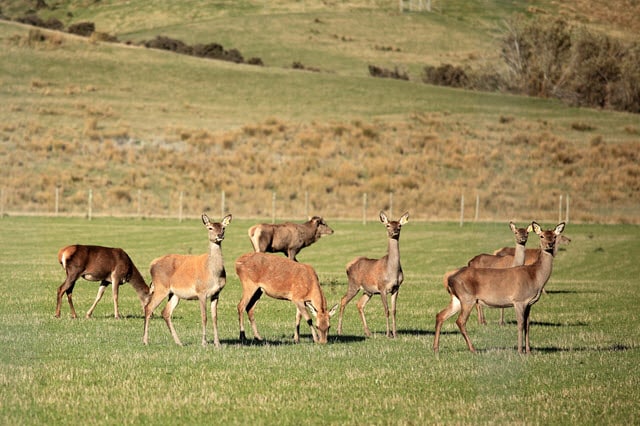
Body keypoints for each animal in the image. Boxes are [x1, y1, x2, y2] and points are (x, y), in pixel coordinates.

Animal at [141, 213, 231, 346]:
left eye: (223, 228)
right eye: (210, 228)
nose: (219, 235)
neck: (213, 273)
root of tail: (152, 264)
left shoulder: (216, 293)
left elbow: (215, 318)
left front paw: (217, 343)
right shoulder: (201, 292)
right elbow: (204, 317)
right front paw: (204, 343)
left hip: (174, 294)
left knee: (165, 312)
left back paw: (179, 342)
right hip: (161, 287)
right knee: (149, 307)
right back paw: (145, 341)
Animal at [436, 221, 564, 354]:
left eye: (554, 236)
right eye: (541, 236)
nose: (550, 244)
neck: (535, 277)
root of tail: (449, 278)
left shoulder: (529, 303)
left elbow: (527, 325)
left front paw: (528, 351)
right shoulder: (519, 300)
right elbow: (520, 324)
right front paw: (520, 351)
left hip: (457, 299)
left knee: (440, 315)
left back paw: (436, 348)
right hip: (467, 297)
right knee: (460, 321)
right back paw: (473, 349)